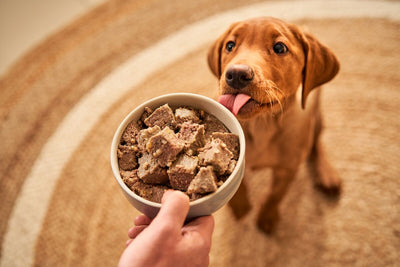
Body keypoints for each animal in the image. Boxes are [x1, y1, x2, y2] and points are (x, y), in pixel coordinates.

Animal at [208, 17, 342, 234]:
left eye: (279, 47)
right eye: (230, 46)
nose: (236, 74)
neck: (262, 124)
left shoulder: (287, 169)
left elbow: (276, 194)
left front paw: (267, 217)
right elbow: (239, 181)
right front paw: (241, 207)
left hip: (316, 112)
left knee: (316, 141)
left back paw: (327, 173)